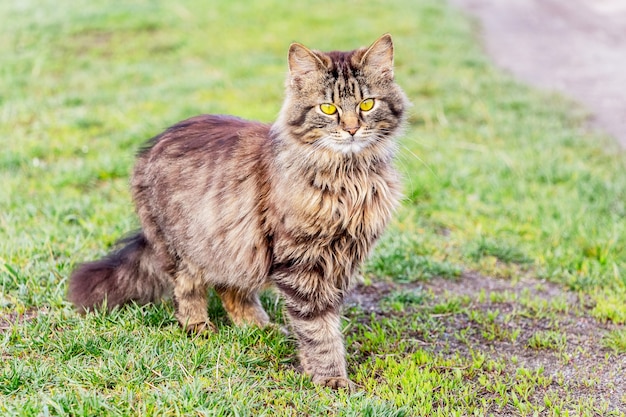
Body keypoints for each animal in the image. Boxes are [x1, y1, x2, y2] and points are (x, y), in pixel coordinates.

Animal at [68, 34, 408, 388]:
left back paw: (261, 328)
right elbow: (318, 328)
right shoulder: (301, 263)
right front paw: (331, 379)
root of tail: (149, 146)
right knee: (188, 290)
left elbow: (326, 323)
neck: (348, 180)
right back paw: (200, 329)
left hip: (234, 245)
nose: (352, 129)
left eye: (367, 104)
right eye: (328, 108)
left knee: (230, 288)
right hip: (186, 248)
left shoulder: (342, 260)